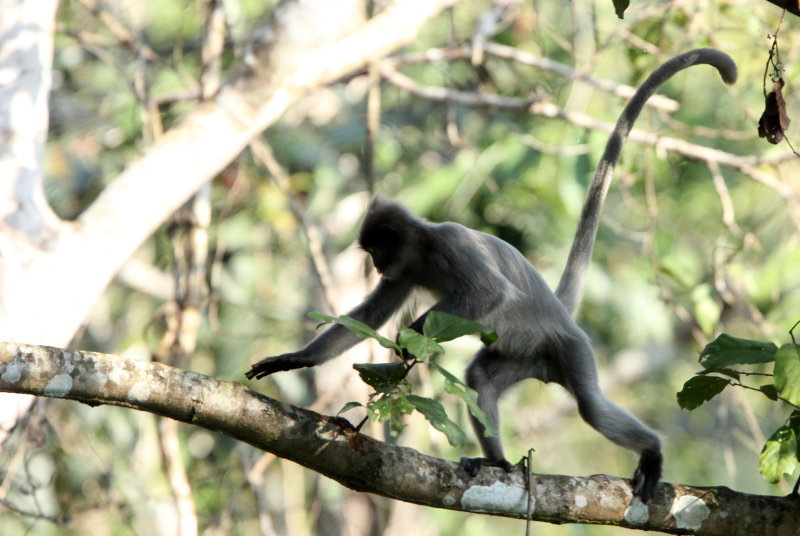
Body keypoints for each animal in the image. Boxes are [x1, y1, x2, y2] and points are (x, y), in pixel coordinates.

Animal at [247, 49, 740, 502]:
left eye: (376, 249)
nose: (374, 264)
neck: (422, 251)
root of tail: (560, 317)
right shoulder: (405, 271)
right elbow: (369, 315)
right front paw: (295, 360)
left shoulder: (448, 245)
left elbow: (489, 293)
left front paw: (412, 334)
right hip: (523, 356)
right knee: (481, 376)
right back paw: (498, 463)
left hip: (570, 349)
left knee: (591, 408)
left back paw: (651, 451)